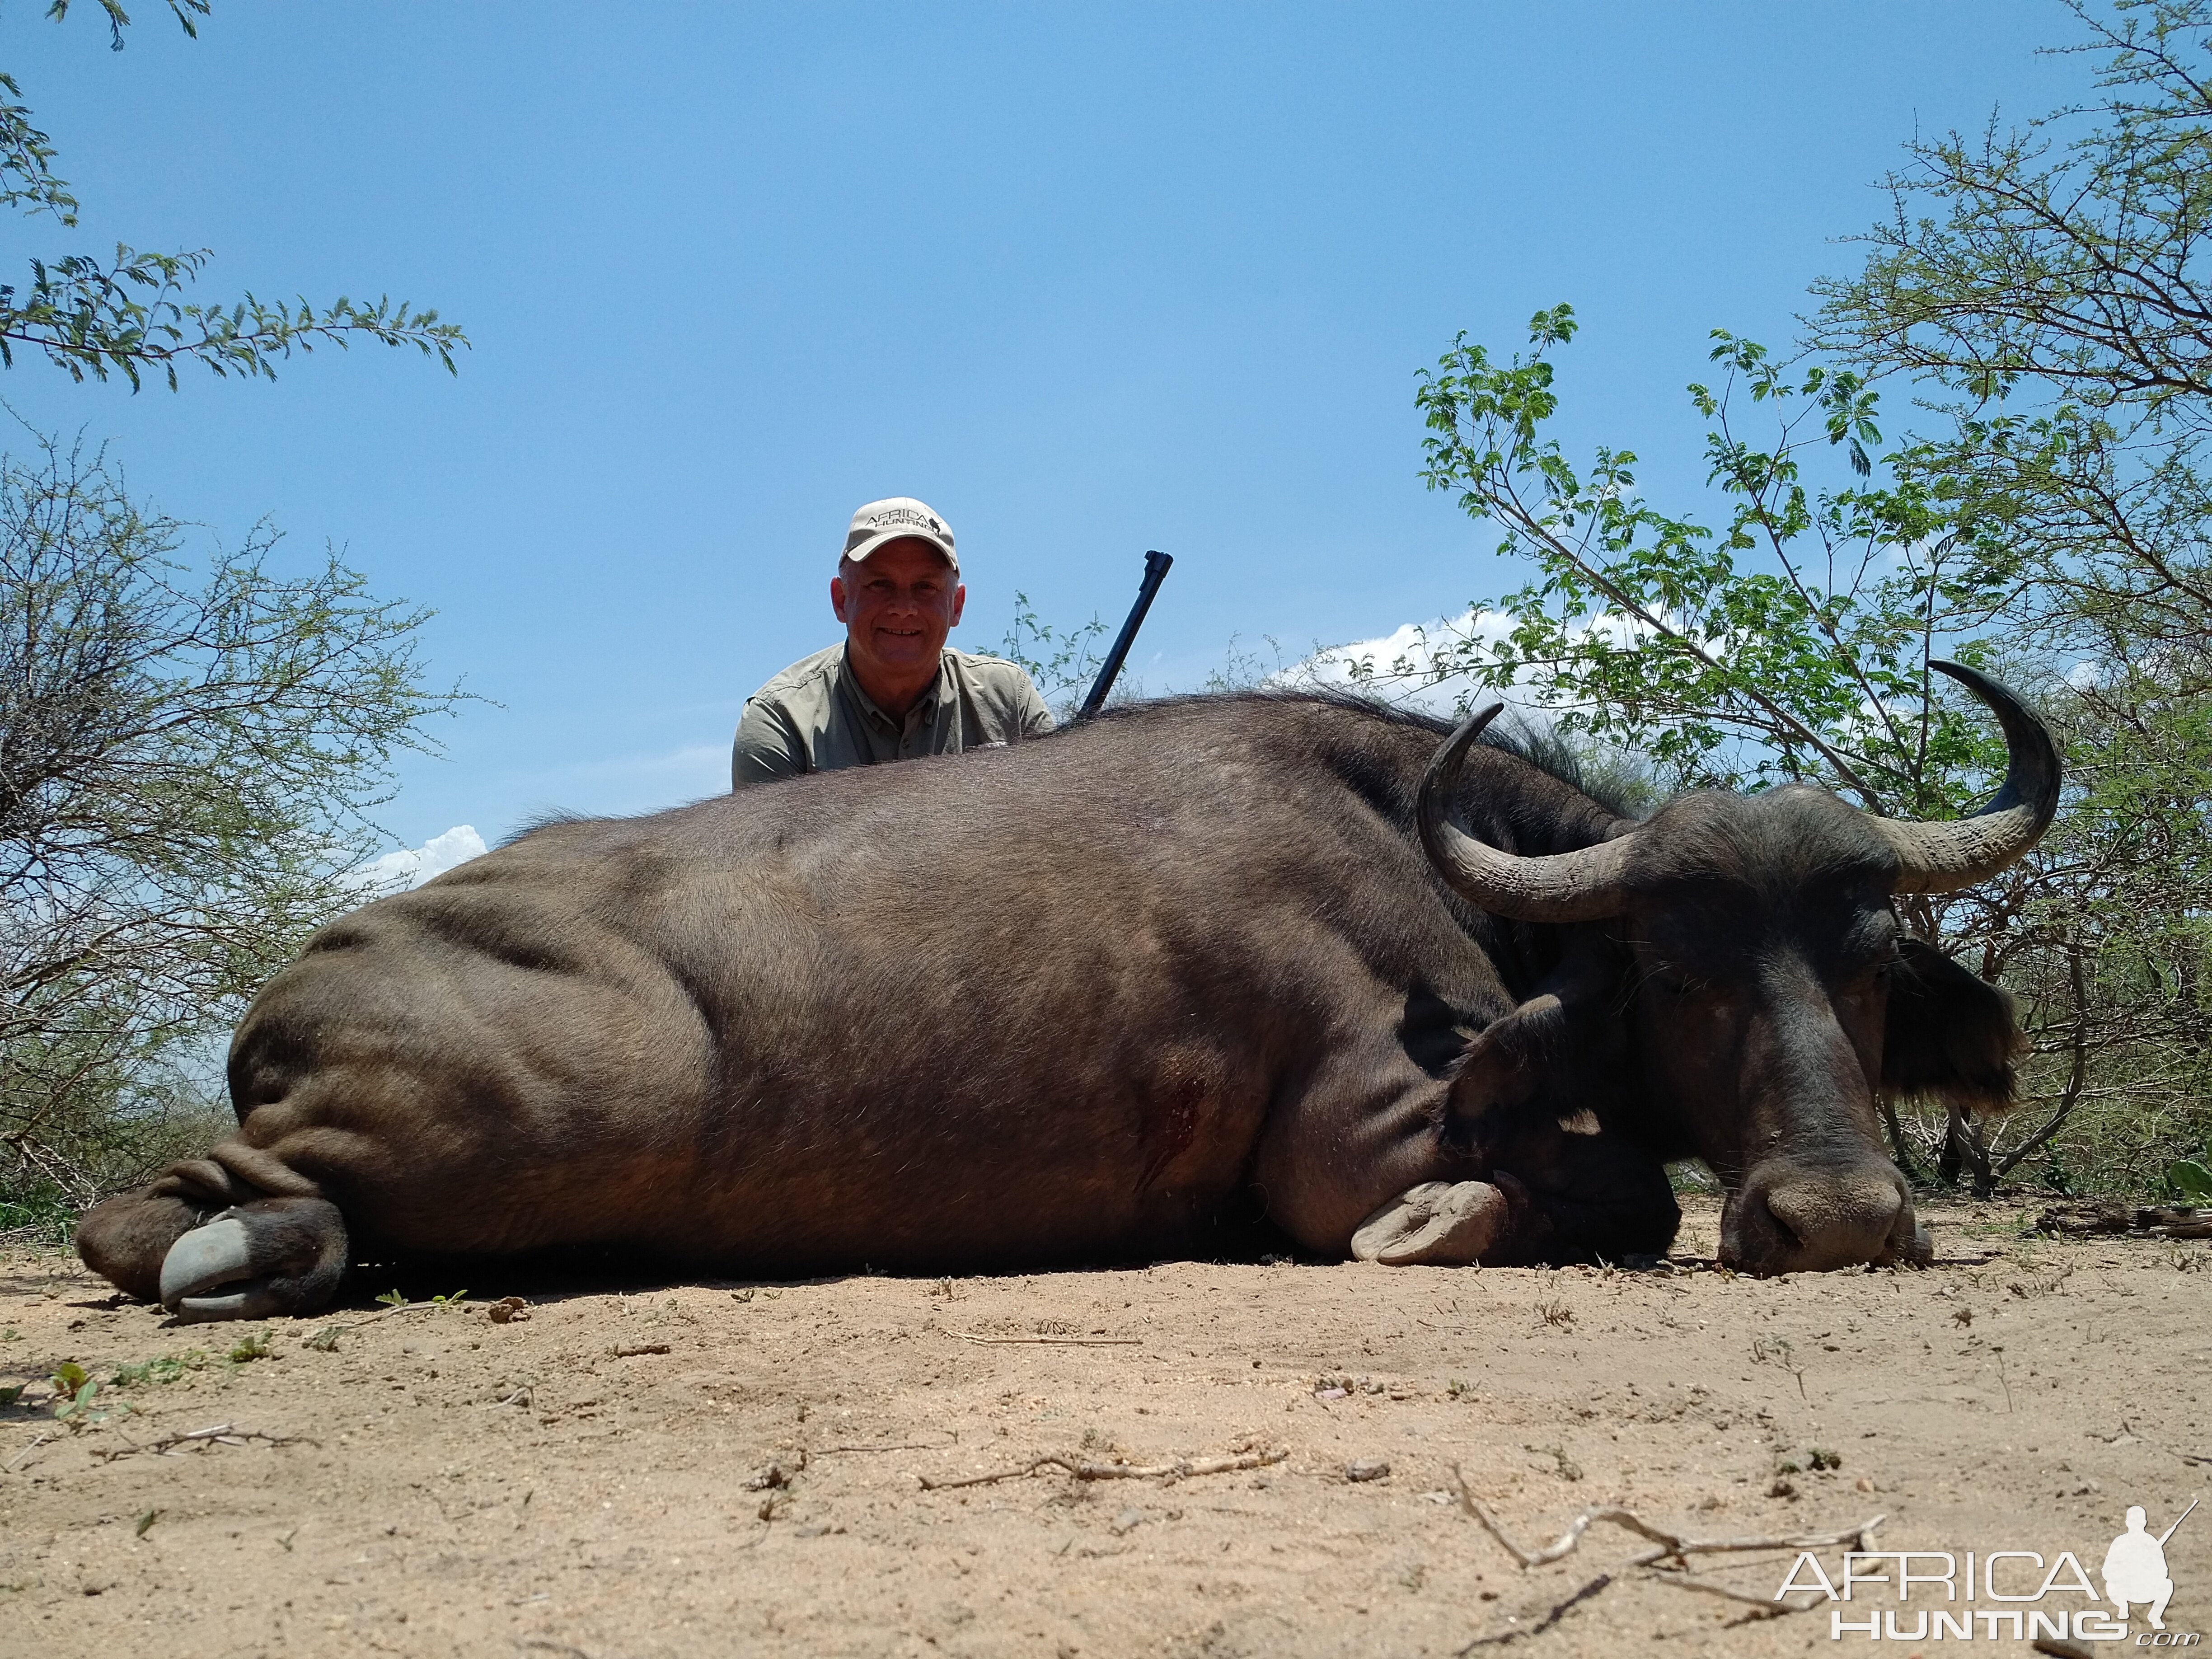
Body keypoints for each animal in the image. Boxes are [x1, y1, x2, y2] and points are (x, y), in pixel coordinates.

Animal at [78, 655, 2062, 1318]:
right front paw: (1440, 1231)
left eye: (1867, 968)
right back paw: (246, 1255)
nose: (1836, 1216)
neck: (1429, 844)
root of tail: (299, 976)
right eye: (1672, 965)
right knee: (178, 1215)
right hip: (602, 1097)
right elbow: (1615, 1192)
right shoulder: (1359, 1137)